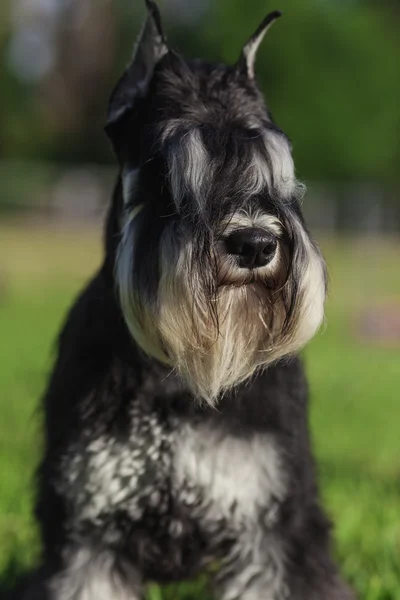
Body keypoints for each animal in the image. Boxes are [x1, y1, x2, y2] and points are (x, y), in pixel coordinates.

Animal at [14, 1, 354, 600]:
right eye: (164, 166)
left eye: (278, 166)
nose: (255, 243)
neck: (175, 374)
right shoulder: (89, 531)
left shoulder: (270, 530)